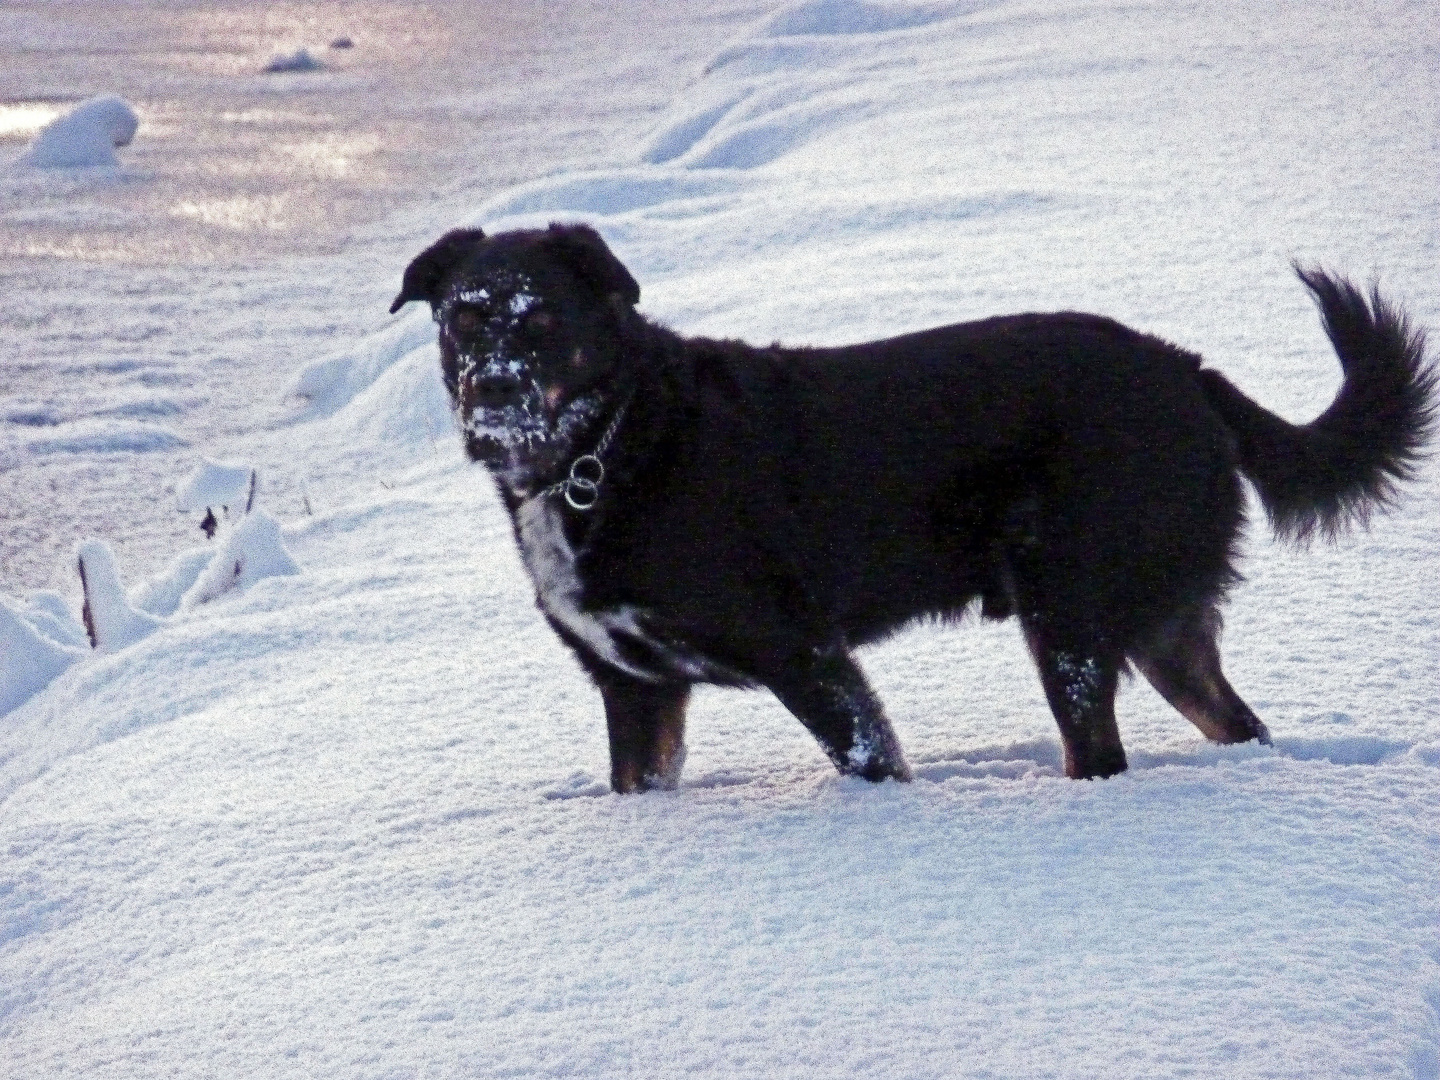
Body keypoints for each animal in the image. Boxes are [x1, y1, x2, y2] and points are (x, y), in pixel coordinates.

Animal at [388, 221, 1434, 794]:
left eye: (542, 320)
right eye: (463, 320)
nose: (491, 393)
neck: (607, 446)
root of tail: (1191, 373)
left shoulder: (804, 654)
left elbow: (869, 760)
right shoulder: (636, 690)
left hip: (1072, 614)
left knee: (1099, 750)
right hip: (1160, 624)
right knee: (1237, 724)